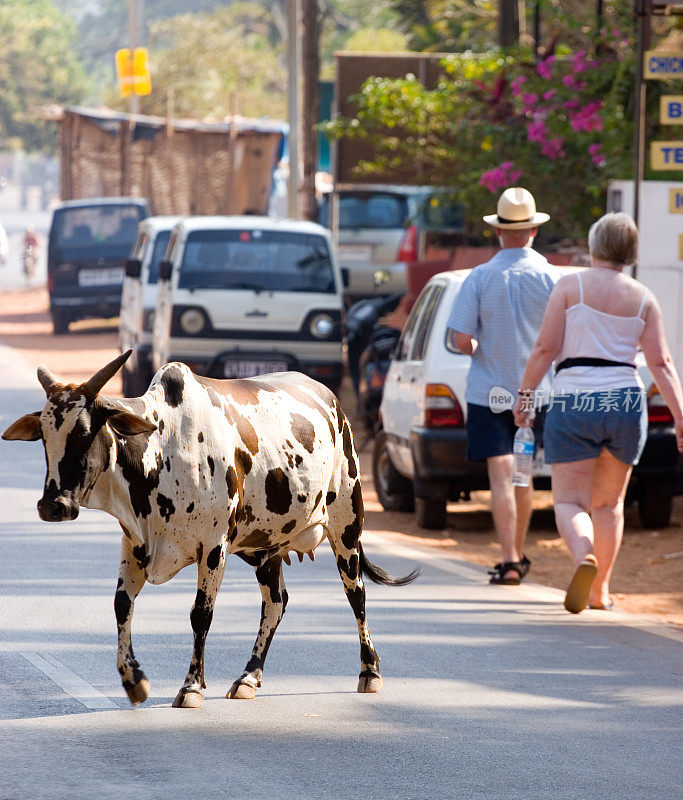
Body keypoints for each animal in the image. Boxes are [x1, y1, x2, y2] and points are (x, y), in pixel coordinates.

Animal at [2, 350, 420, 708]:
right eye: (44, 434)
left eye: (86, 431)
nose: (53, 505)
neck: (161, 448)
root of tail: (332, 400)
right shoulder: (134, 543)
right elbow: (122, 604)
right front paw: (134, 681)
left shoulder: (213, 546)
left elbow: (200, 614)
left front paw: (191, 688)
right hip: (266, 546)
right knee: (276, 602)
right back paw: (248, 678)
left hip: (345, 526)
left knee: (357, 596)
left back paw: (370, 673)